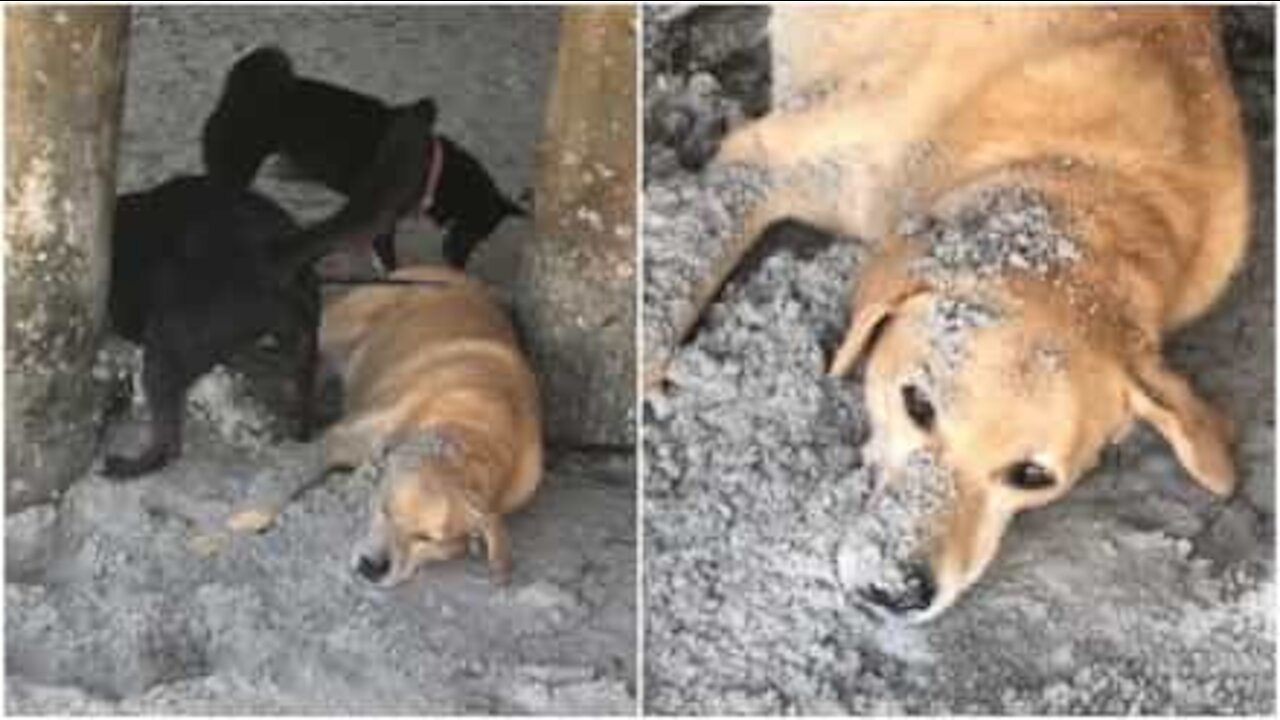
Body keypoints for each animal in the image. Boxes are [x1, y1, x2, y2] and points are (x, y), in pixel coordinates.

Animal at [106, 106, 435, 476]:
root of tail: (274, 248)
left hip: (169, 345)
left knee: (170, 441)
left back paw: (129, 466)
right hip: (300, 341)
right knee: (302, 400)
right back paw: (299, 432)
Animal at [202, 45, 527, 269]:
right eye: (477, 232)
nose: (459, 267)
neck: (436, 167)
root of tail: (239, 87)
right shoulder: (383, 217)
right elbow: (387, 255)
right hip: (238, 164)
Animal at [655, 7, 1244, 617]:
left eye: (1032, 475)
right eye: (916, 404)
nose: (895, 591)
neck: (1086, 171)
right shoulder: (768, 158)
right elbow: (676, 280)